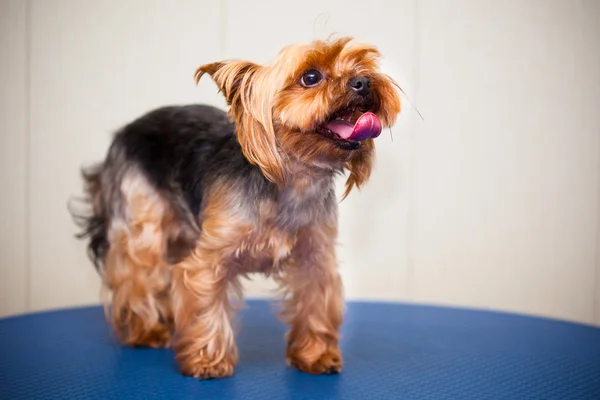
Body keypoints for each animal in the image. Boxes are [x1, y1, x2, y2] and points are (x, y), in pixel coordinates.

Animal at [71, 36, 404, 378]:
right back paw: (145, 330)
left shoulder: (315, 255)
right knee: (137, 275)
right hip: (142, 219)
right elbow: (205, 303)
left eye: (363, 66)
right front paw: (207, 360)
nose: (363, 82)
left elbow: (316, 302)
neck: (292, 180)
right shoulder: (209, 259)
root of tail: (123, 132)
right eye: (310, 77)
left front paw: (316, 355)